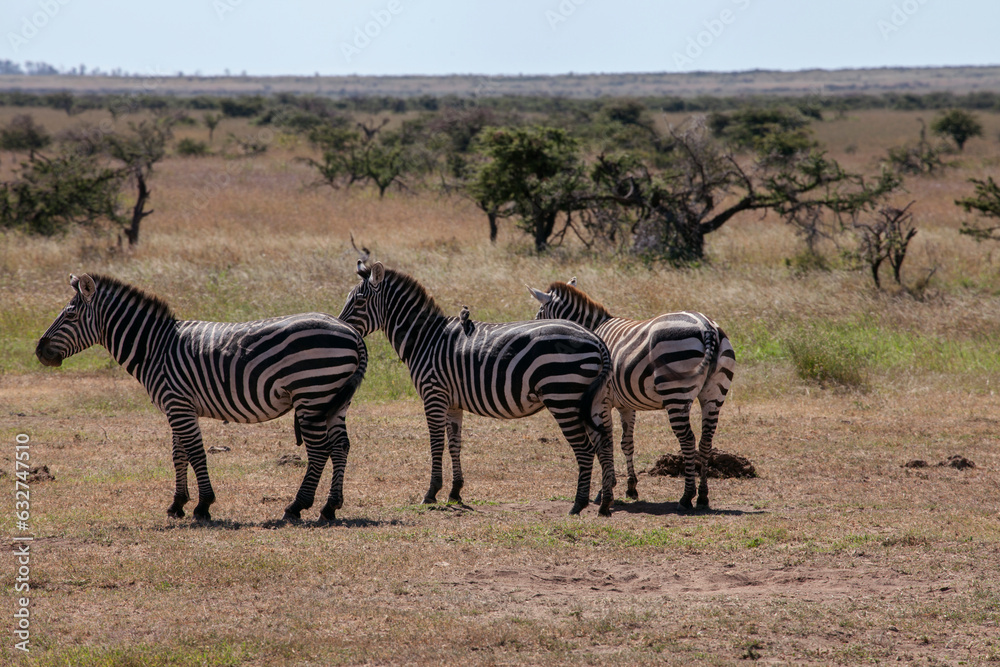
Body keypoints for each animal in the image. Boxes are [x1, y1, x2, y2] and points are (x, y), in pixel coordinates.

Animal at [35, 273, 367, 523]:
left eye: (70, 315)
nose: (39, 351)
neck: (155, 348)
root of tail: (351, 331)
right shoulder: (179, 407)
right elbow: (178, 453)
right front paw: (177, 504)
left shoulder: (178, 404)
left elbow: (195, 452)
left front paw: (203, 505)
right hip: (334, 398)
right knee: (340, 446)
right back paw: (330, 507)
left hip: (312, 394)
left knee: (319, 451)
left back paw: (296, 507)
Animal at [338, 261, 617, 516]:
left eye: (360, 302)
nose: (343, 329)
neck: (425, 339)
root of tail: (597, 340)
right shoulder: (452, 402)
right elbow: (455, 443)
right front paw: (455, 491)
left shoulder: (433, 394)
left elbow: (436, 443)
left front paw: (431, 492)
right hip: (596, 400)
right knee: (604, 443)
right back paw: (604, 503)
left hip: (563, 396)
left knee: (585, 449)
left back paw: (578, 504)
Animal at [528, 277, 735, 510]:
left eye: (539, 313)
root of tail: (706, 327)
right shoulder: (626, 404)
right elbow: (627, 443)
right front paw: (630, 487)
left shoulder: (601, 401)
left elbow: (605, 442)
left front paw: (605, 490)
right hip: (715, 394)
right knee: (706, 441)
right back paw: (702, 496)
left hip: (676, 393)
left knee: (688, 440)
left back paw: (686, 497)